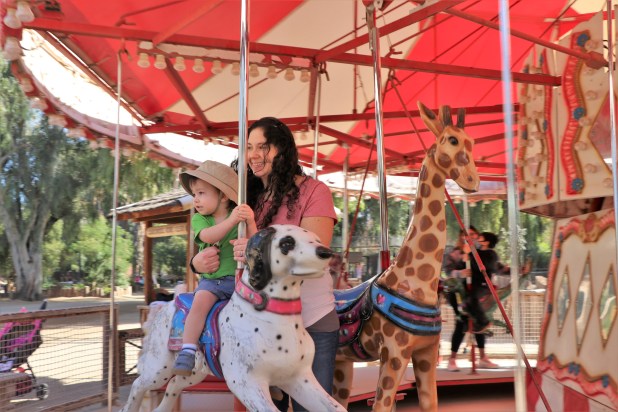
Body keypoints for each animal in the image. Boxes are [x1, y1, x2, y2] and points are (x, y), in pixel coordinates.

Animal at [332, 101, 480, 412]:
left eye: (471, 142)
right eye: (451, 140)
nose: (473, 180)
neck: (414, 283)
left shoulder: (425, 354)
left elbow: (429, 404)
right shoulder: (394, 354)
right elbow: (381, 405)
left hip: (342, 361)